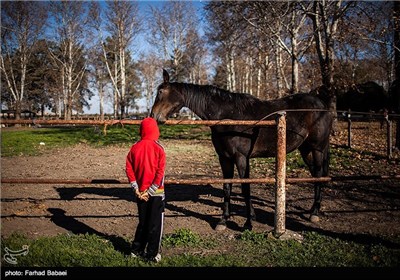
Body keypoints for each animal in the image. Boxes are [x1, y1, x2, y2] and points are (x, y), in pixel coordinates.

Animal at [150, 69, 332, 231]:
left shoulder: (241, 157)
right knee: (316, 175)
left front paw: (248, 222)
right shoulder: (224, 158)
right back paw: (311, 210)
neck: (228, 117)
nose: (153, 116)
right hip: (306, 150)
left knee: (319, 175)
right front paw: (223, 221)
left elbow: (245, 188)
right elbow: (227, 187)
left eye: (160, 91)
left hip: (317, 149)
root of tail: (321, 104)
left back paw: (314, 213)